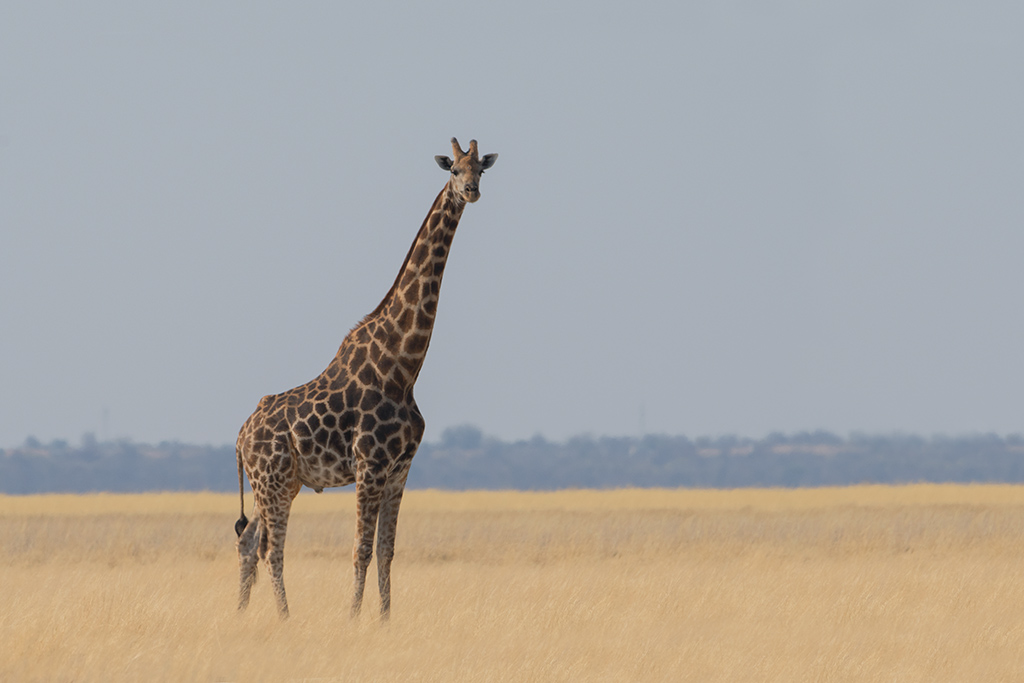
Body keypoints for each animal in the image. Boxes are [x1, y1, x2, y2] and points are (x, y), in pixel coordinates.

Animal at [234, 137, 497, 620]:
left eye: (481, 170)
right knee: (270, 548)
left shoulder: (400, 469)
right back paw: (284, 618)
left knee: (247, 542)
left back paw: (241, 615)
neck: (403, 366)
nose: (470, 191)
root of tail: (241, 435)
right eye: (453, 169)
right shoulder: (370, 466)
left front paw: (386, 620)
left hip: (283, 483)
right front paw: (354, 618)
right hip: (272, 479)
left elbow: (387, 550)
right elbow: (360, 549)